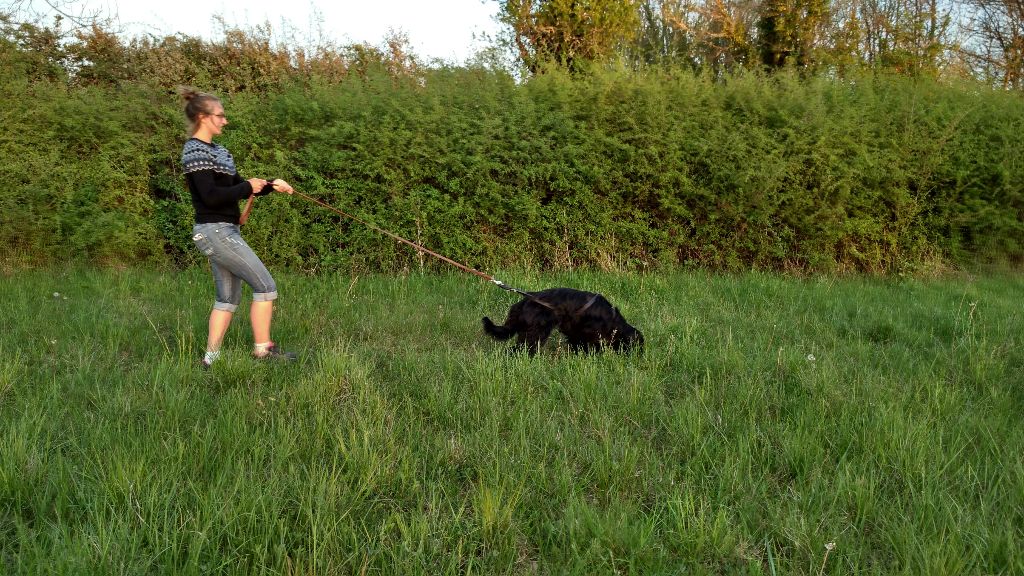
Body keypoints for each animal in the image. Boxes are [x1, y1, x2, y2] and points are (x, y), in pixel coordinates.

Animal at [482, 288, 644, 355]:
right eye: (638, 346)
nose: (640, 357)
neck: (612, 319)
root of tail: (524, 301)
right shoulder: (591, 334)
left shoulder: (576, 334)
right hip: (536, 334)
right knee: (519, 349)